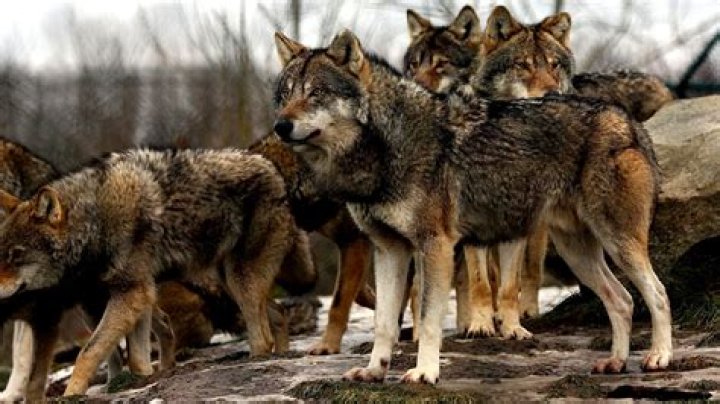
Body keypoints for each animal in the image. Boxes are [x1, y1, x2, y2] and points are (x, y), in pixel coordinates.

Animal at [0, 148, 296, 397]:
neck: (96, 220)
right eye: (3, 254)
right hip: (228, 282)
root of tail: (272, 169)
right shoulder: (135, 292)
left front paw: (72, 394)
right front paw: (144, 379)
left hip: (238, 281)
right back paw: (281, 356)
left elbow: (88, 351)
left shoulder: (132, 291)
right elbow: (135, 356)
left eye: (16, 255)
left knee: (262, 336)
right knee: (279, 312)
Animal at [273, 29, 673, 383]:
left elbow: (428, 321)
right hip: (578, 253)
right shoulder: (389, 251)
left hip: (619, 244)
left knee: (657, 293)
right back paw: (615, 363)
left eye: (316, 93)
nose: (280, 125)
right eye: (285, 94)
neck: (386, 148)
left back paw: (659, 357)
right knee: (622, 300)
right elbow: (384, 324)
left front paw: (424, 373)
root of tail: (627, 121)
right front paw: (374, 371)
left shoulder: (436, 247)